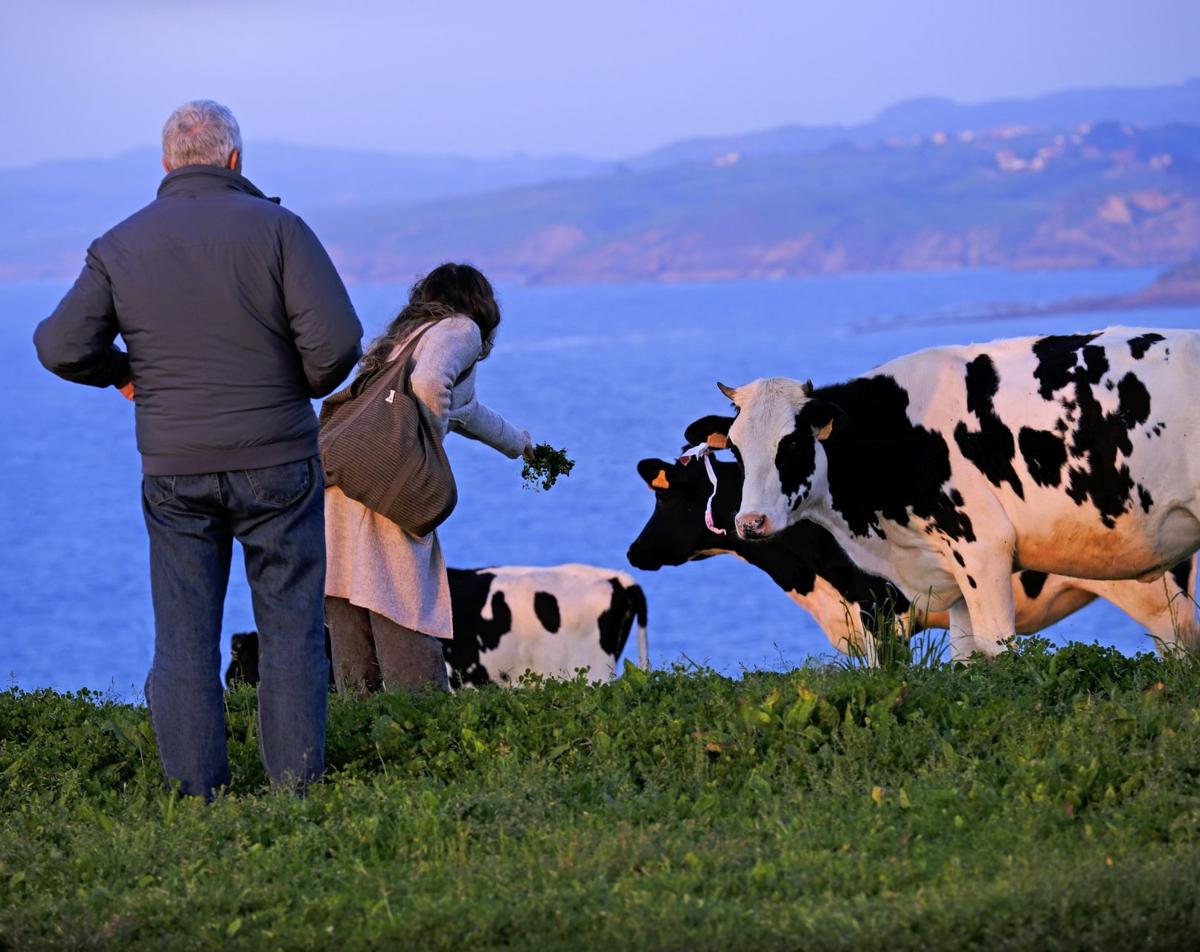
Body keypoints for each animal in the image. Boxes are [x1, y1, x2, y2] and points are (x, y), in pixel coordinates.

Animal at [696, 326, 1200, 653]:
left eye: (794, 443)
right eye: (736, 449)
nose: (750, 522)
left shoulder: (983, 548)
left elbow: (997, 650)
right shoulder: (947, 574)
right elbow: (965, 660)